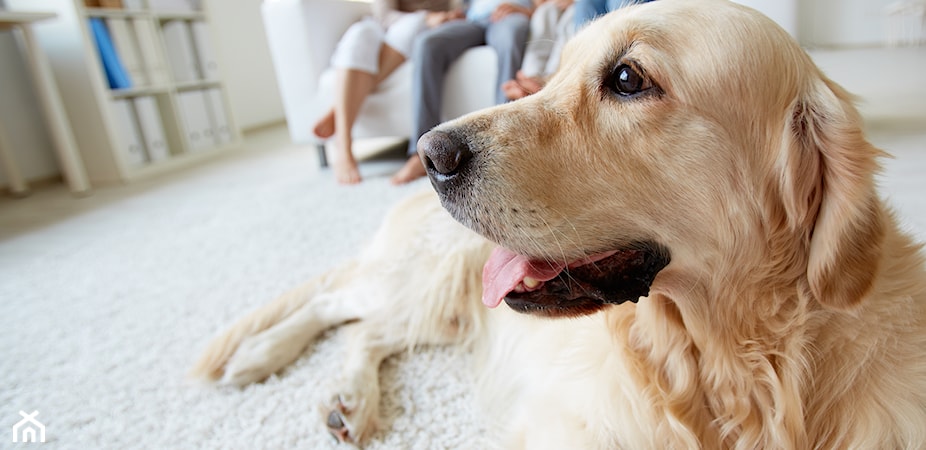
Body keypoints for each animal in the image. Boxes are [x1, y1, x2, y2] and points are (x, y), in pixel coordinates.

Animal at [190, 0, 926, 446]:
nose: (428, 154)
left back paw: (345, 397)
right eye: (556, 72)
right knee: (337, 302)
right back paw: (263, 355)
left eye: (627, 78)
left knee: (365, 328)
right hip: (431, 278)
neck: (732, 369)